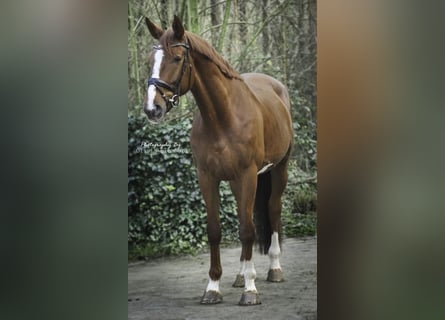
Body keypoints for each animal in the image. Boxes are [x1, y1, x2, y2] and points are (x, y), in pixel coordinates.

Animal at [144, 16, 294, 306]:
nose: (152, 109)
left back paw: (274, 269)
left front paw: (250, 290)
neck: (223, 118)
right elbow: (215, 230)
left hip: (279, 169)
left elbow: (247, 230)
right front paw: (213, 287)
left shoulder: (248, 174)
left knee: (273, 210)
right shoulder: (207, 177)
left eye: (177, 58)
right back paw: (240, 275)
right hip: (238, 182)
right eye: (150, 60)